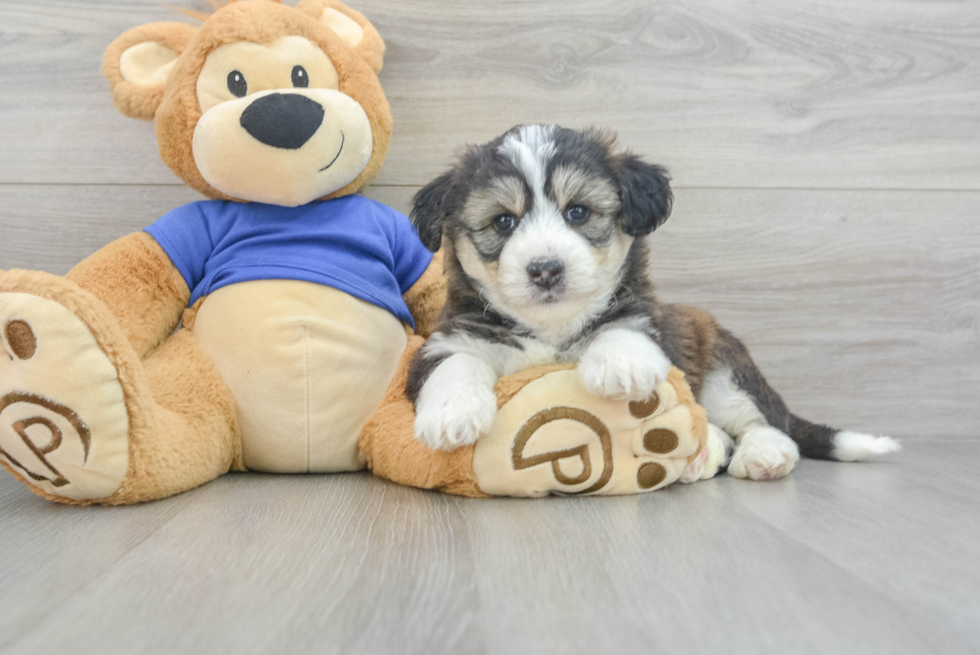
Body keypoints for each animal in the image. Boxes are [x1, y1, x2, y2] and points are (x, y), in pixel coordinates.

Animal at [404, 124, 896, 482]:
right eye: (503, 222)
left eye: (577, 212)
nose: (545, 269)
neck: (551, 329)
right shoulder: (450, 339)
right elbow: (456, 363)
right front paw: (452, 414)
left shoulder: (646, 322)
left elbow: (622, 328)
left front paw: (620, 365)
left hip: (725, 371)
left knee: (763, 423)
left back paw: (763, 454)